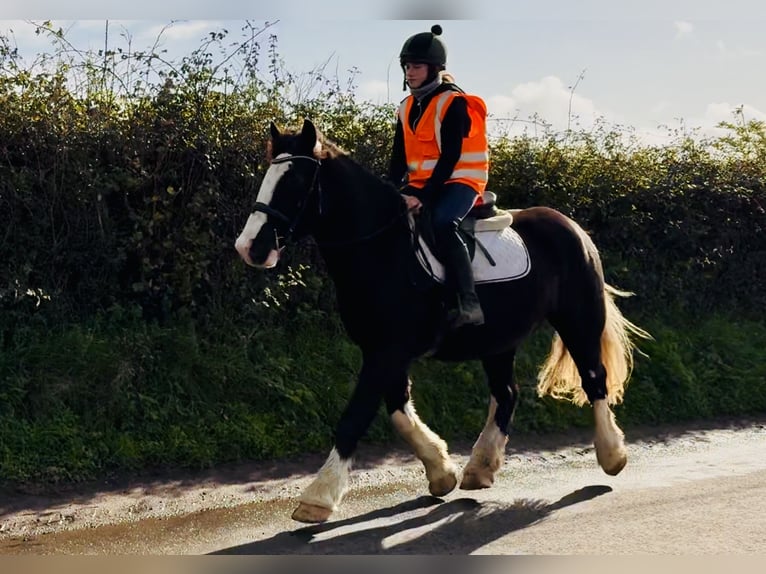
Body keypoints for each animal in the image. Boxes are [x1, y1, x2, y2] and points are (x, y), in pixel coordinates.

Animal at [235, 119, 651, 524]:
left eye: (296, 182)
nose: (249, 247)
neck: (383, 250)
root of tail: (573, 228)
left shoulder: (388, 351)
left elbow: (355, 416)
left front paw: (317, 498)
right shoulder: (383, 351)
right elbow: (399, 411)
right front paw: (442, 473)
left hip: (578, 319)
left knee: (594, 378)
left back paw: (612, 455)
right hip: (498, 339)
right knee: (507, 393)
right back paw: (480, 468)